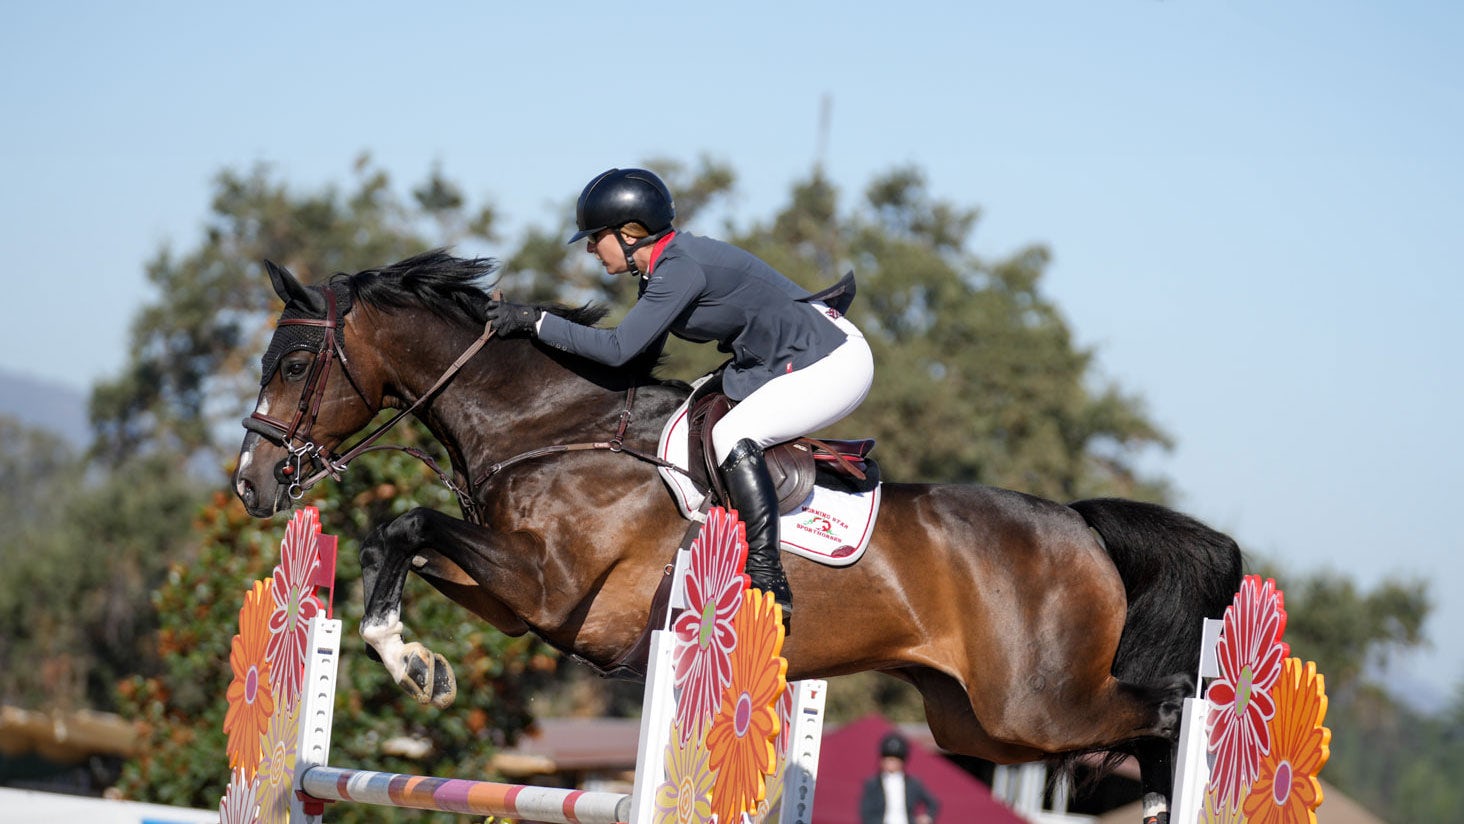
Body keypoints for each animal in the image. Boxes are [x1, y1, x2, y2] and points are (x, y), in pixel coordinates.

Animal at [234, 251, 1241, 824]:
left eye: (295, 362)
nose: (251, 482)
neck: (548, 425)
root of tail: (1077, 523)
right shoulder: (523, 602)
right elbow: (395, 542)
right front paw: (420, 661)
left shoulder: (548, 586)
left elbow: (403, 524)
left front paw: (409, 662)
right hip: (978, 722)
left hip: (1035, 705)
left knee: (1168, 707)